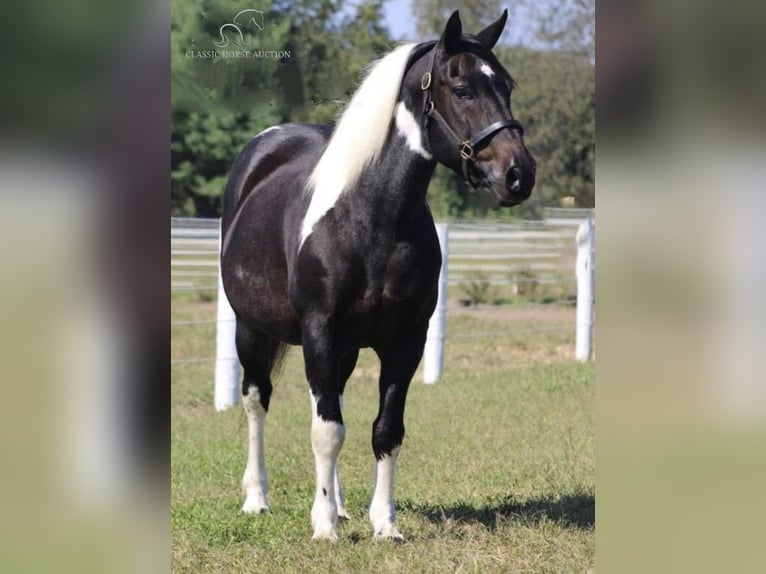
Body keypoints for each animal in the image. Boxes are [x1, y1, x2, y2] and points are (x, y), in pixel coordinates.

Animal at [219, 9, 536, 544]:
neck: (371, 217)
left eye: (507, 86)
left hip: (343, 349)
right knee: (257, 403)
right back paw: (257, 499)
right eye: (461, 88)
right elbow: (326, 432)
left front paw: (383, 524)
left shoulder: (405, 340)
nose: (519, 174)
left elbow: (385, 431)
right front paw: (324, 528)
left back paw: (341, 504)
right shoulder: (320, 332)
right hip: (252, 330)